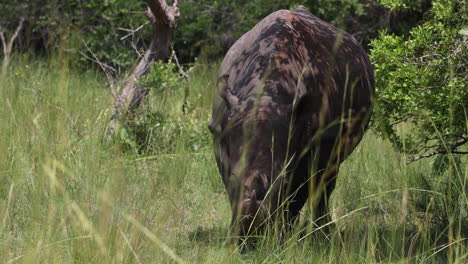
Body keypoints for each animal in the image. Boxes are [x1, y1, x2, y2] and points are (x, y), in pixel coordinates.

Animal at [208, 5, 376, 241]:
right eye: (233, 180)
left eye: (282, 183)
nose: (250, 232)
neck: (265, 95)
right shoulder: (220, 131)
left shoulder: (316, 139)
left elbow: (301, 190)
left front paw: (283, 237)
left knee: (325, 180)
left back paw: (322, 234)